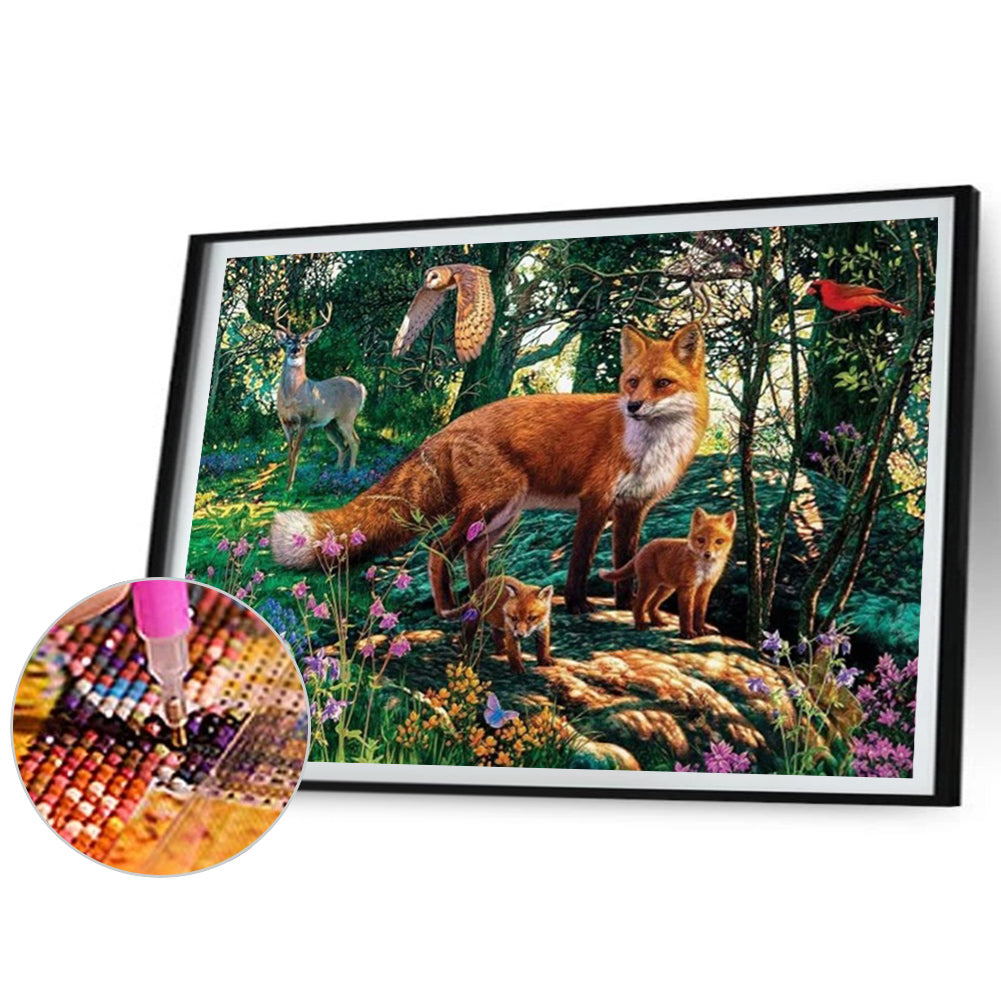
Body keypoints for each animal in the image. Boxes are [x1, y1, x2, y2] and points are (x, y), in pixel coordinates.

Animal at [270, 322, 709, 615]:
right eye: (632, 382)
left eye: (663, 383)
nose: (633, 407)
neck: (649, 447)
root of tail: (448, 427)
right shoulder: (595, 500)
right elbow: (581, 560)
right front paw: (578, 605)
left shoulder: (633, 507)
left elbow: (625, 561)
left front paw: (626, 605)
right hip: (491, 504)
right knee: (440, 547)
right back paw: (449, 609)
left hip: (502, 514)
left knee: (473, 552)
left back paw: (485, 602)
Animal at [600, 507, 736, 636]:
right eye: (701, 540)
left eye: (719, 541)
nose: (707, 554)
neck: (705, 569)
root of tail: (643, 548)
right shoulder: (687, 587)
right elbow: (686, 613)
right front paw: (687, 633)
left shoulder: (705, 587)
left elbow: (700, 612)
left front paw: (701, 630)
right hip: (650, 585)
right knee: (638, 604)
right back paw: (640, 624)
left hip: (666, 589)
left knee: (651, 605)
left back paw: (657, 622)